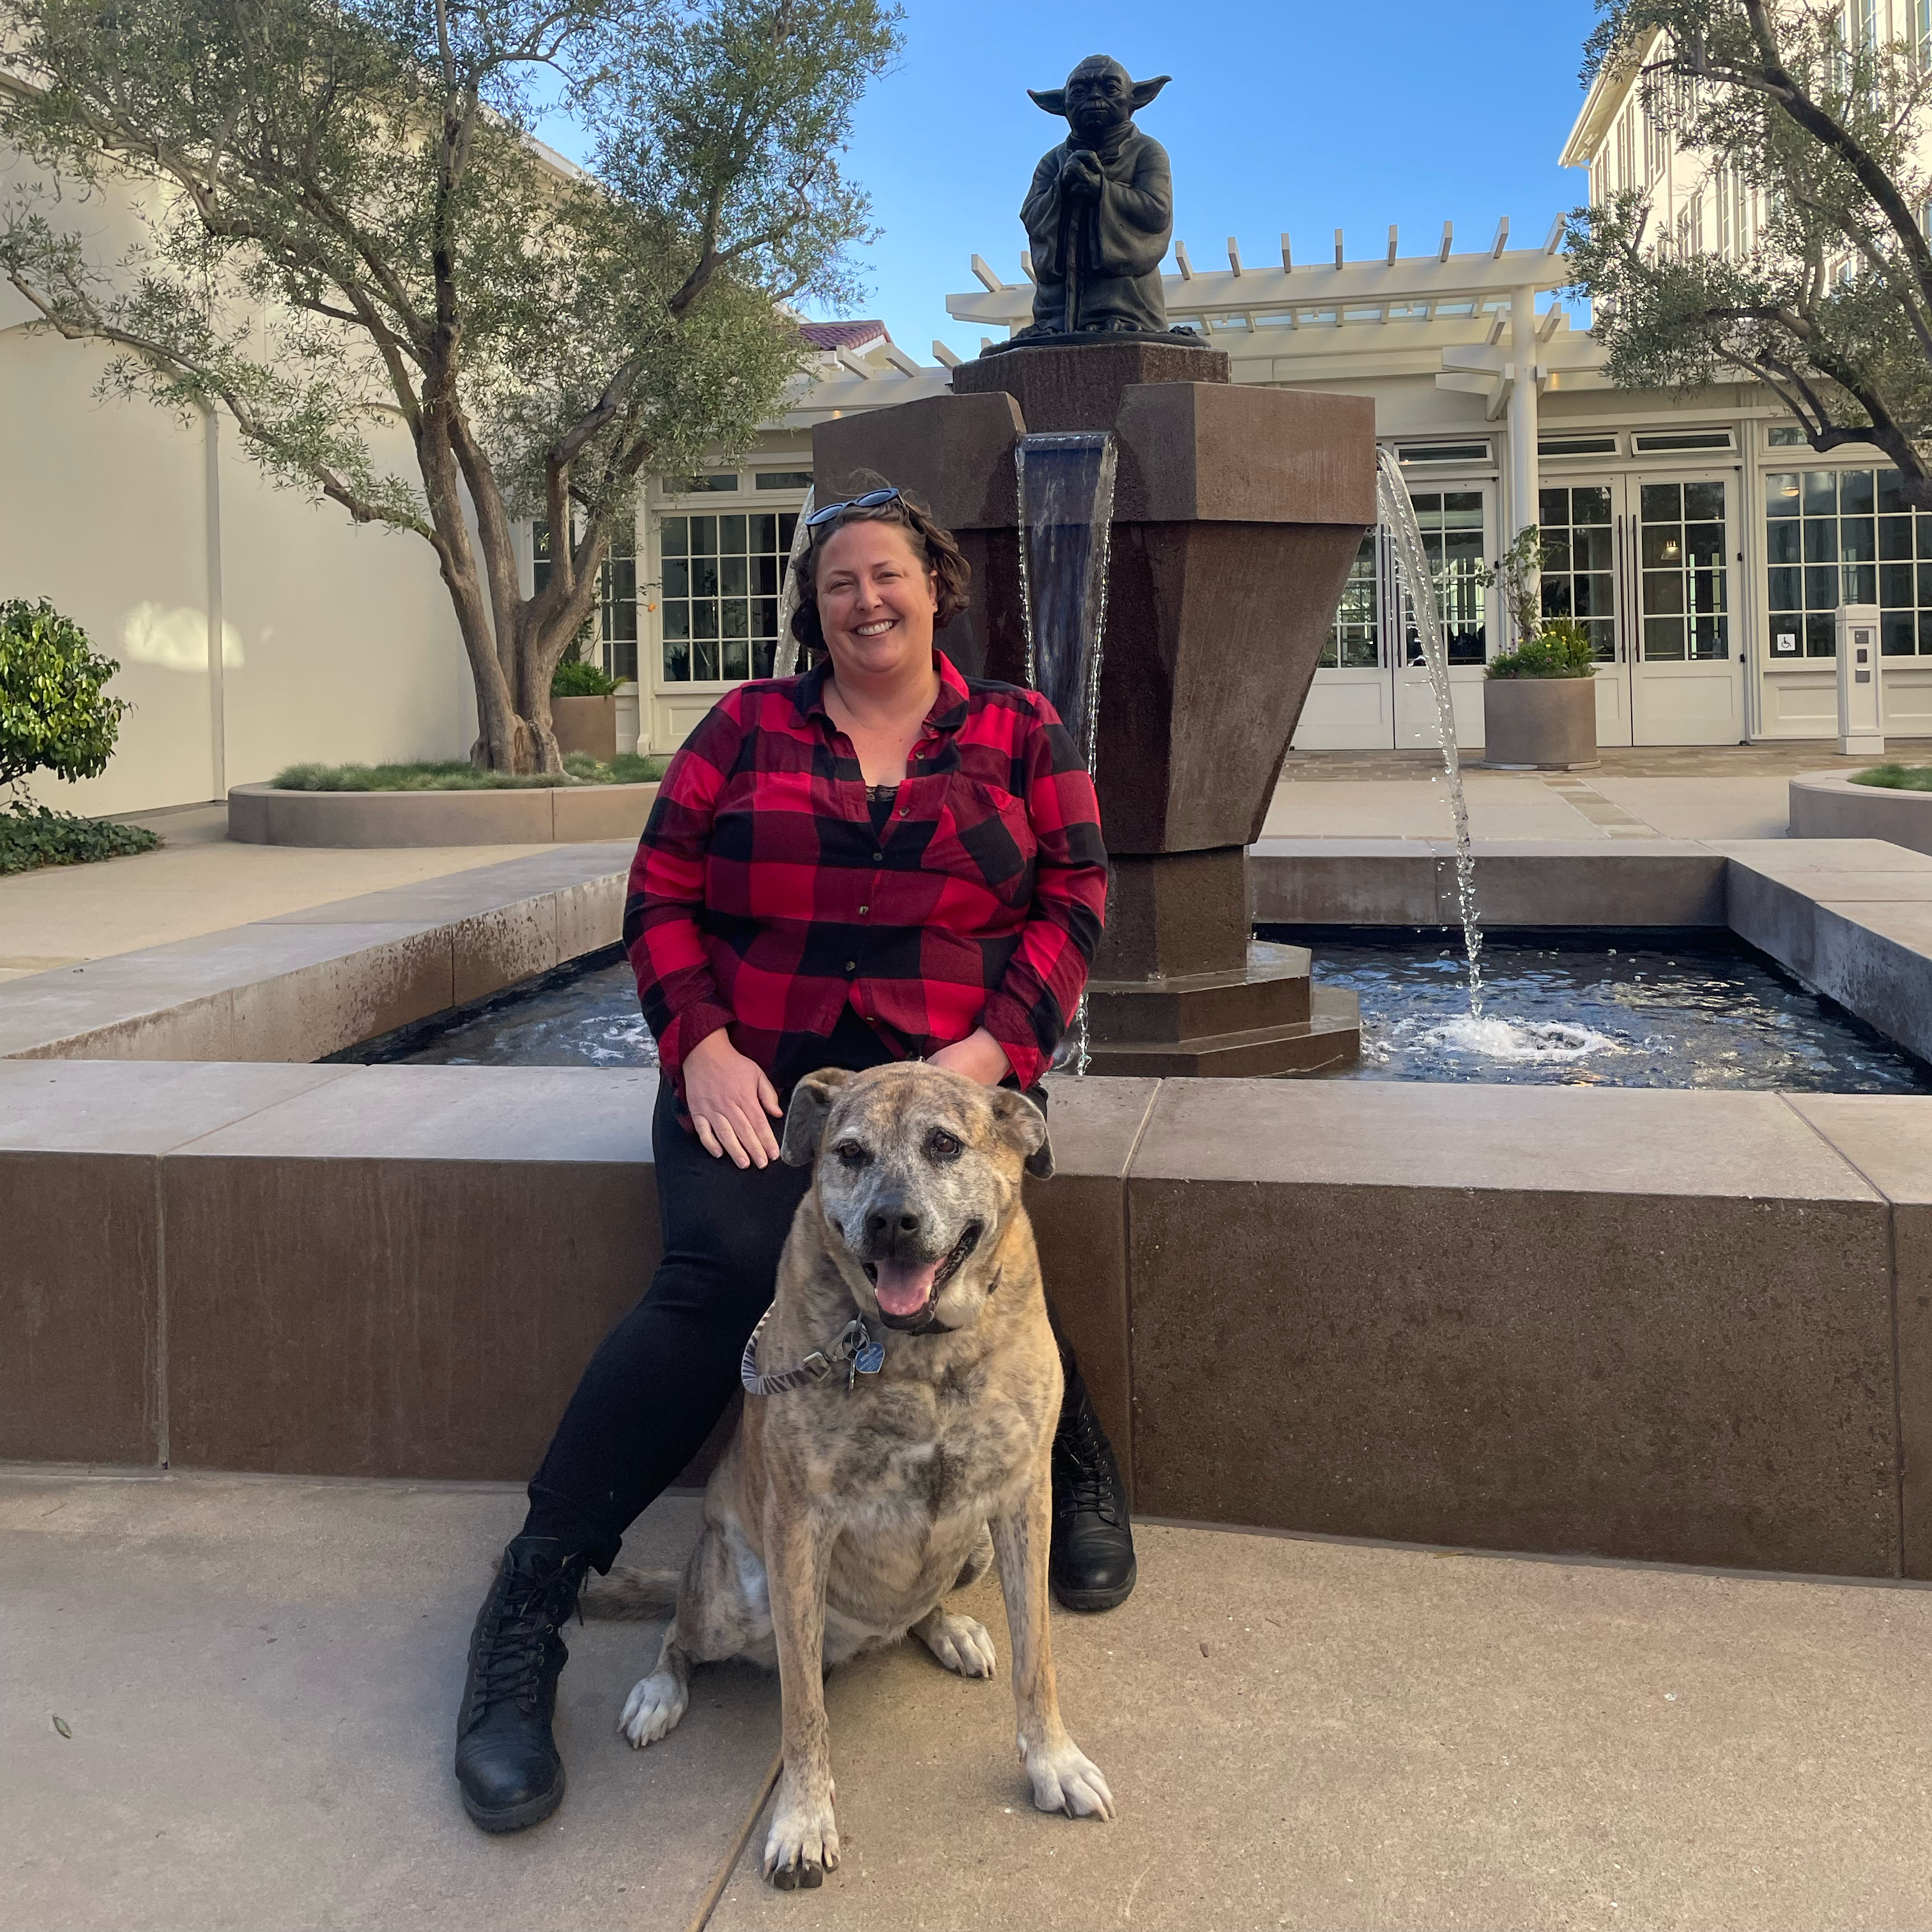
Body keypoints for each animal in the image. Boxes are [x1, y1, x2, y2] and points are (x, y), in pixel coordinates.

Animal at [579, 1059, 1112, 1885]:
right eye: (851, 1153)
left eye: (944, 1144)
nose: (891, 1221)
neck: (920, 1349)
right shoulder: (802, 1525)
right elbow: (803, 1711)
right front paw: (803, 1818)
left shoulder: (1024, 1499)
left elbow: (1038, 1657)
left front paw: (1052, 1761)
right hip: (735, 1594)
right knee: (680, 1634)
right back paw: (659, 1693)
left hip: (973, 1548)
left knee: (919, 1607)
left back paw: (948, 1630)